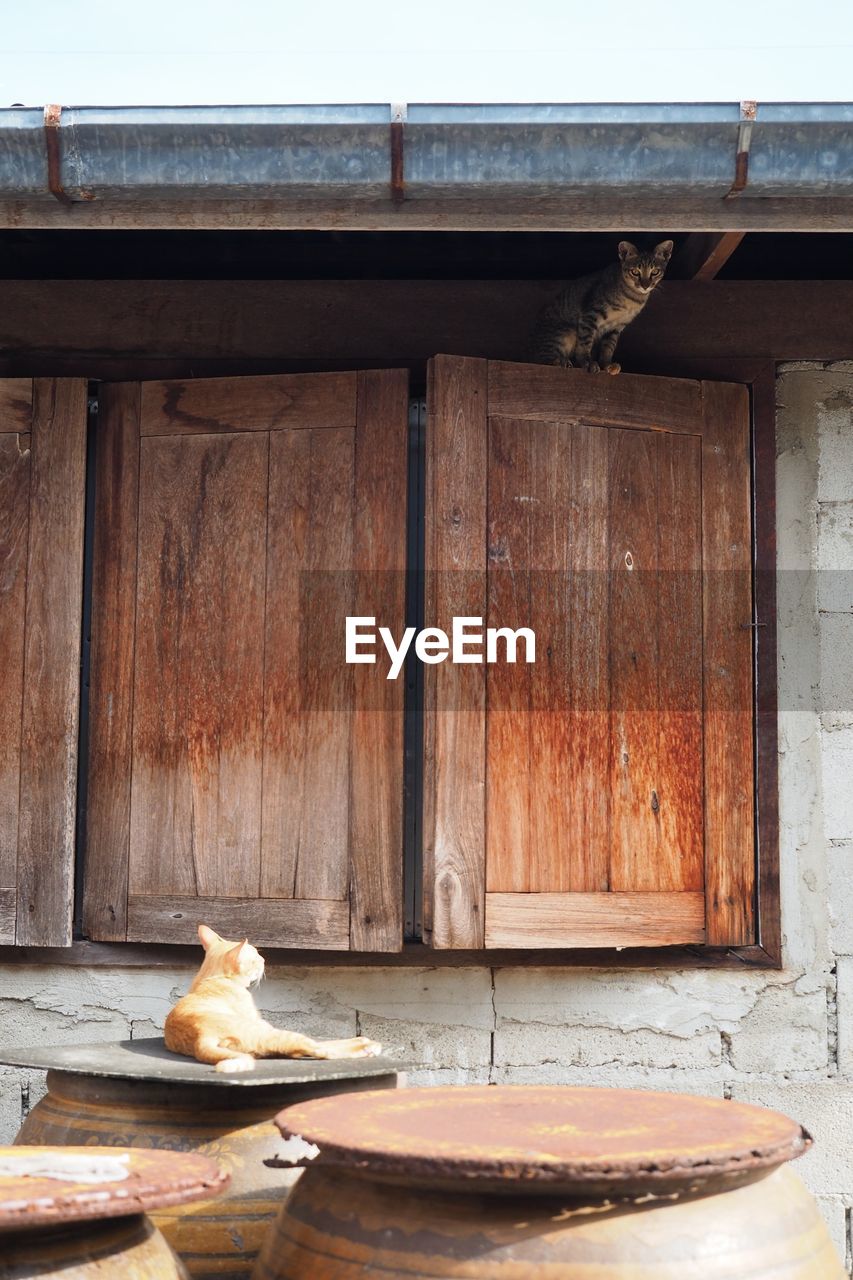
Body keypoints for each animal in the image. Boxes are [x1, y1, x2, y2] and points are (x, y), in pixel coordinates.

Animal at [163, 926, 381, 1075]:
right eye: (256, 958)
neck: (212, 977)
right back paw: (365, 1045)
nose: (264, 960)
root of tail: (201, 1039)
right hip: (272, 1032)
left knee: (301, 1050)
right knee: (320, 1049)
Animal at [525, 240, 671, 373]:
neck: (633, 299)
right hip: (566, 332)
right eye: (635, 271)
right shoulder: (590, 314)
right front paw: (587, 363)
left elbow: (608, 347)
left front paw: (606, 365)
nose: (645, 285)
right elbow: (585, 342)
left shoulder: (616, 327)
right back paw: (560, 361)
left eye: (655, 272)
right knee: (543, 358)